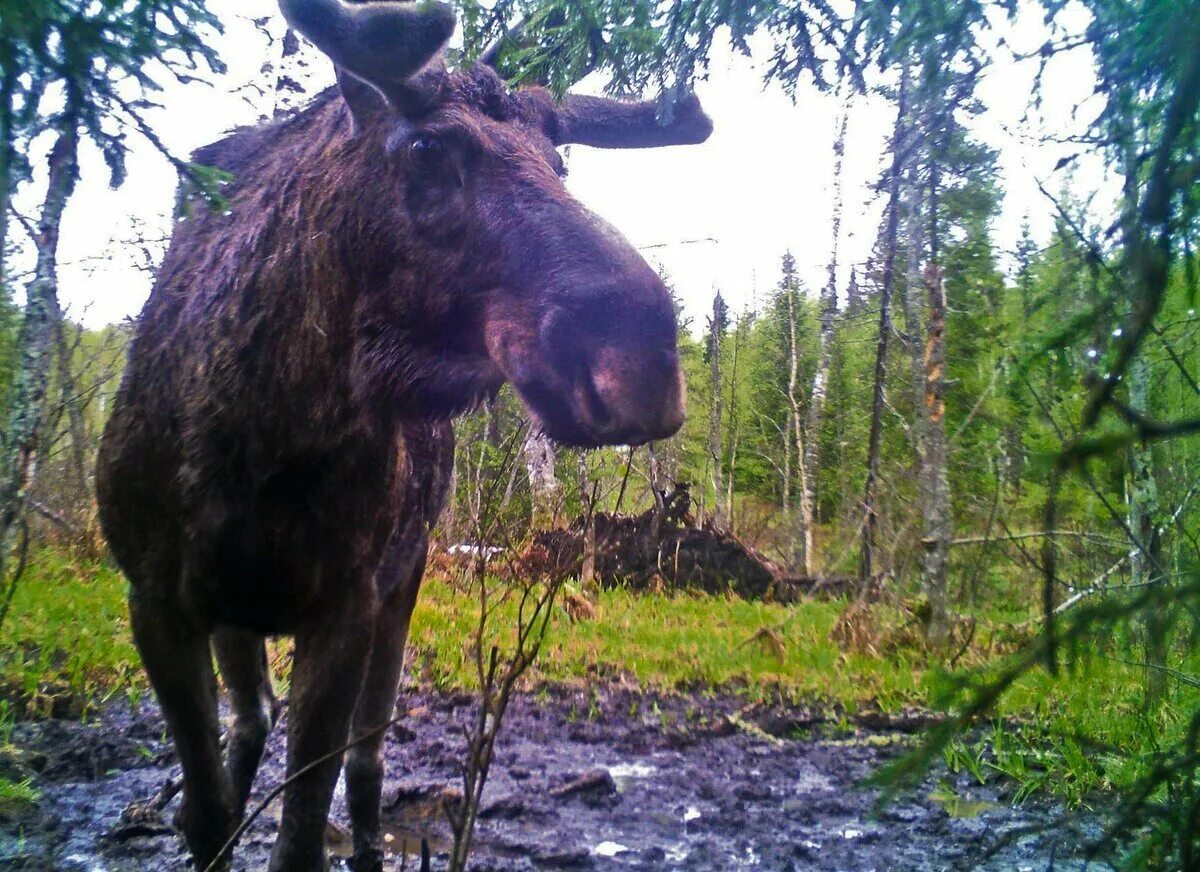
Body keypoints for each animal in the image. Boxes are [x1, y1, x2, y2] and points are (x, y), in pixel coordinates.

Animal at [96, 3, 710, 868]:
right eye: (426, 149)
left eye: (560, 161)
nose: (644, 362)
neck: (255, 442)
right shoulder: (153, 596)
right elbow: (207, 811)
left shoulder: (350, 602)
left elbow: (304, 828)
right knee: (251, 720)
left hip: (404, 576)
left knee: (367, 756)